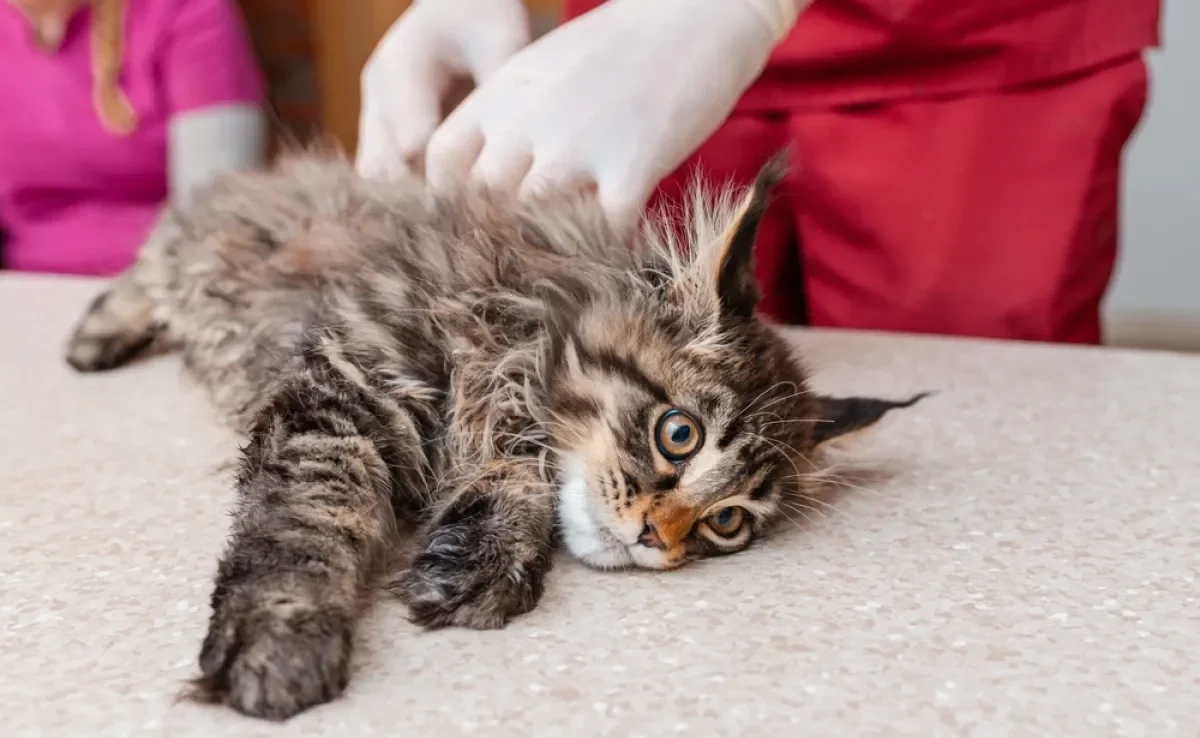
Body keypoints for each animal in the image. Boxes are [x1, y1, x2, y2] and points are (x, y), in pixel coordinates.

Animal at [63, 150, 926, 720]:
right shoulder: (344, 383)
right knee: (146, 275)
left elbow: (516, 482)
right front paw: (282, 635)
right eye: (678, 434)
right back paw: (95, 337)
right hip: (192, 250)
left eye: (728, 524)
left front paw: (477, 558)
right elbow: (306, 520)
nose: (657, 538)